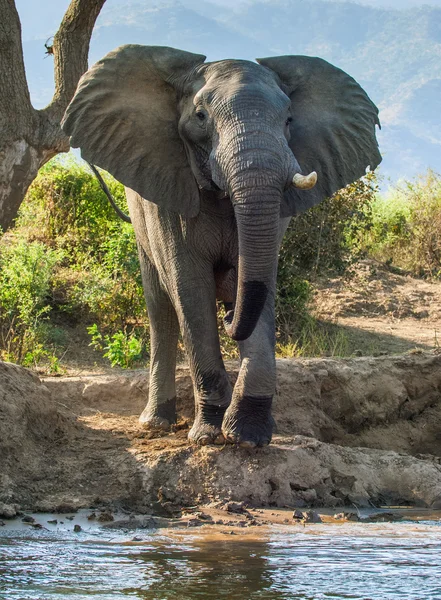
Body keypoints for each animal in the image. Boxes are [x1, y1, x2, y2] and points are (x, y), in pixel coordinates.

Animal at [60, 44, 380, 448]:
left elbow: (260, 282)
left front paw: (248, 437)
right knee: (160, 307)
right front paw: (209, 436)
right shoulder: (170, 197)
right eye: (200, 117)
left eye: (289, 119)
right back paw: (156, 424)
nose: (229, 317)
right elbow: (190, 289)